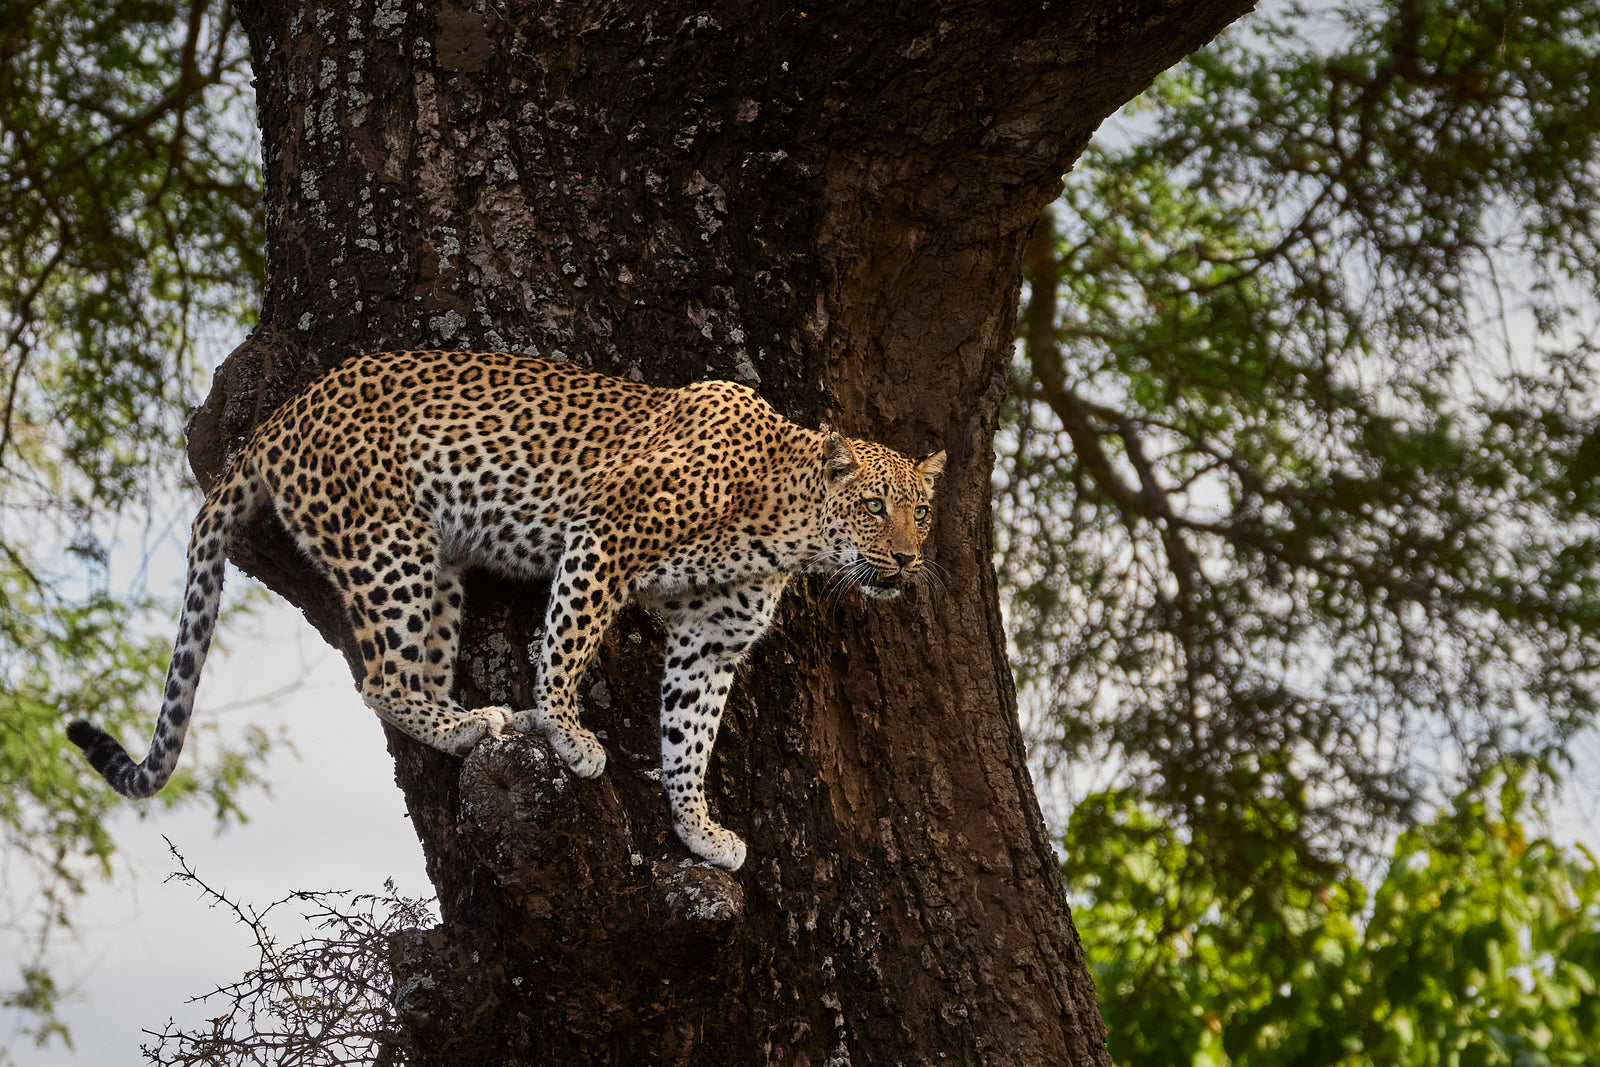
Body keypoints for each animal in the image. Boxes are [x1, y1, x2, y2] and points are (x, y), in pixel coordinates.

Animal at [67, 349, 945, 870]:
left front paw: (697, 825)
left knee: (418, 663)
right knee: (380, 677)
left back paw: (480, 720)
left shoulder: (710, 635)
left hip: (440, 566)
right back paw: (475, 723)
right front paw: (568, 731)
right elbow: (566, 642)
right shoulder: (605, 533)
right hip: (388, 543)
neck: (786, 524)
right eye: (874, 506)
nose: (907, 560)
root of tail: (280, 415)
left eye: (923, 512)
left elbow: (689, 734)